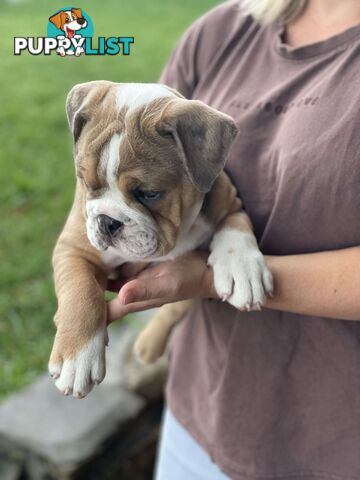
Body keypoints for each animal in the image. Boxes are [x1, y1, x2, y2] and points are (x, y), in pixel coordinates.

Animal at [49, 81, 272, 398]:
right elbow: (80, 290)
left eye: (149, 193)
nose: (107, 221)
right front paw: (77, 358)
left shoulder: (230, 202)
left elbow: (235, 229)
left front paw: (242, 271)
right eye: (86, 182)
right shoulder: (74, 247)